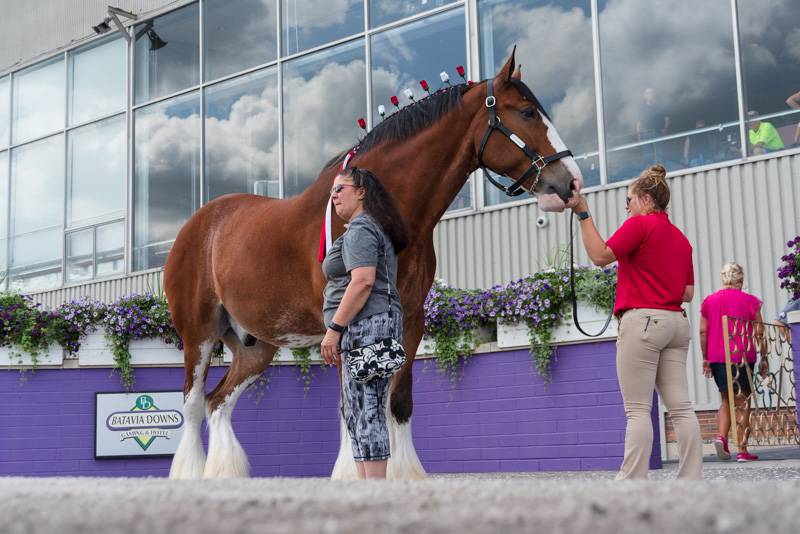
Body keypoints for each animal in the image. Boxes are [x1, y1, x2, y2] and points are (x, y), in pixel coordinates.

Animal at [166, 51, 584, 482]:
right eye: (527, 112)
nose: (571, 182)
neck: (383, 211)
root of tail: (199, 224)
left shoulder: (409, 320)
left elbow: (397, 402)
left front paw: (402, 474)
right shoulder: (341, 320)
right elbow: (350, 408)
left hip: (257, 345)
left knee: (218, 403)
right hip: (198, 333)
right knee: (194, 403)